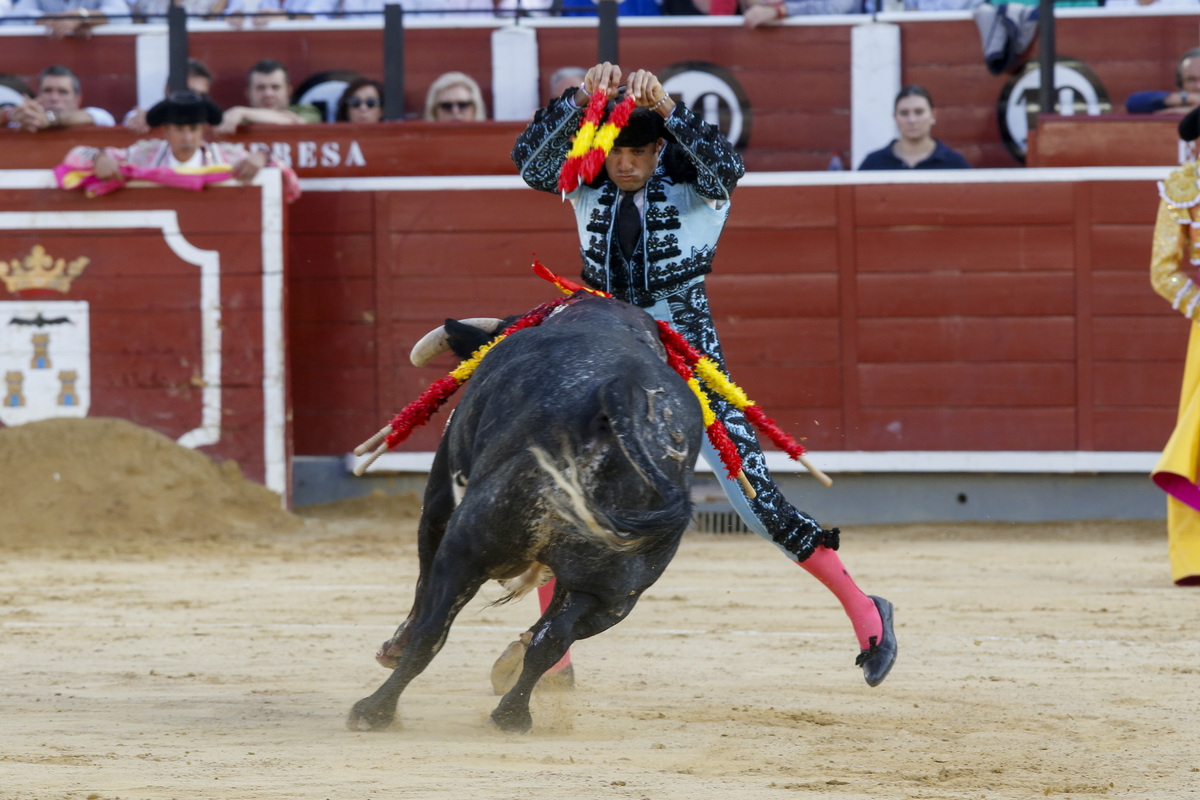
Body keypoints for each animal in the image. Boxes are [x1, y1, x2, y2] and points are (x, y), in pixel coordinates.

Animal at [348, 297, 700, 734]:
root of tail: (624, 394)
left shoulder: (440, 500)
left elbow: (423, 588)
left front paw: (392, 649)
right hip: (614, 594)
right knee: (550, 641)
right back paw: (511, 715)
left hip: (469, 543)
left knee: (433, 629)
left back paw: (374, 710)